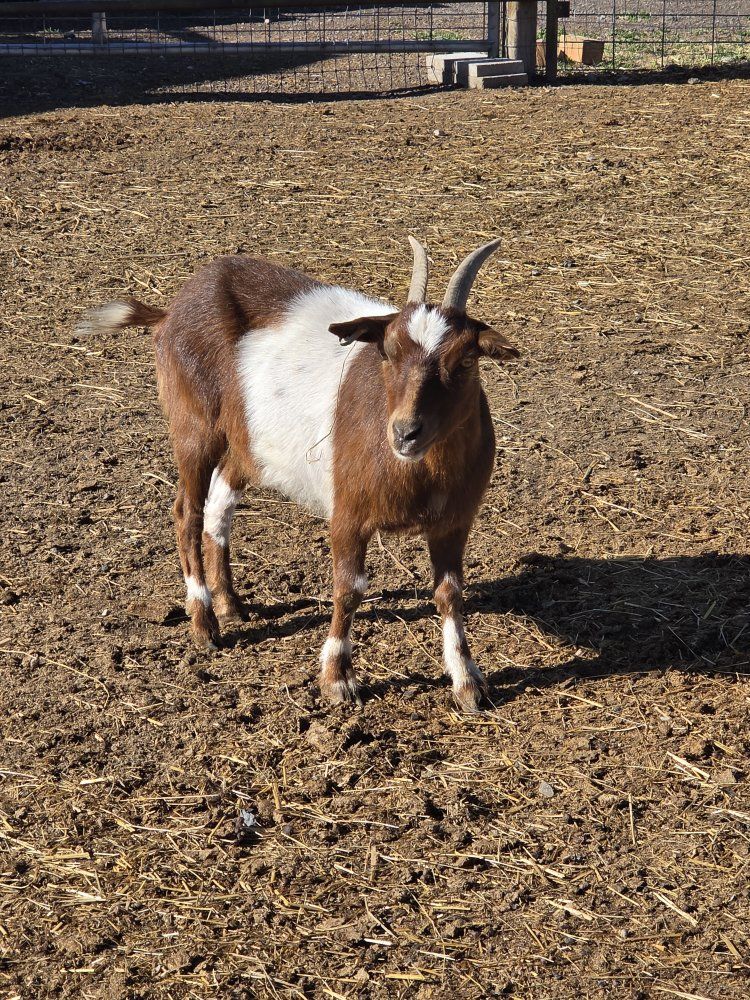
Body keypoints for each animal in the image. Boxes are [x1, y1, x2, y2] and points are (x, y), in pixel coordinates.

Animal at [80, 239, 519, 711]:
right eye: (387, 351)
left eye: (465, 360)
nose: (405, 432)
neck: (418, 472)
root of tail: (170, 311)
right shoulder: (348, 514)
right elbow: (349, 589)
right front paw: (337, 678)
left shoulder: (454, 522)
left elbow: (450, 592)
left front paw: (468, 681)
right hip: (194, 427)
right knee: (187, 512)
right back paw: (203, 623)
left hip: (248, 442)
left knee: (220, 507)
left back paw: (230, 603)